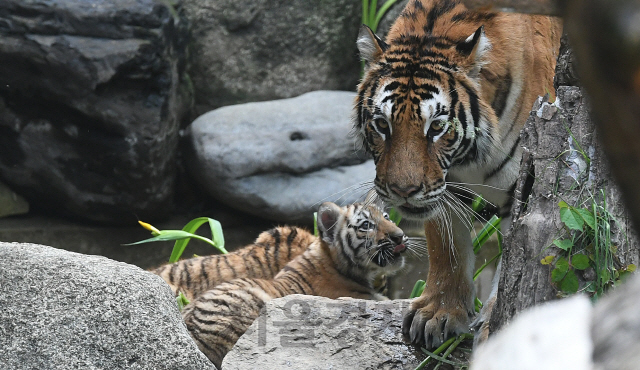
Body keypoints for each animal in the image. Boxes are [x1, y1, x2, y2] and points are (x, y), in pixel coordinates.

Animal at [356, 0, 560, 346]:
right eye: (382, 124)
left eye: (437, 127)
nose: (403, 191)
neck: (471, 159)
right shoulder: (443, 189)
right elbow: (446, 249)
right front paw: (438, 312)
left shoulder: (524, 183)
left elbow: (513, 260)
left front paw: (498, 324)